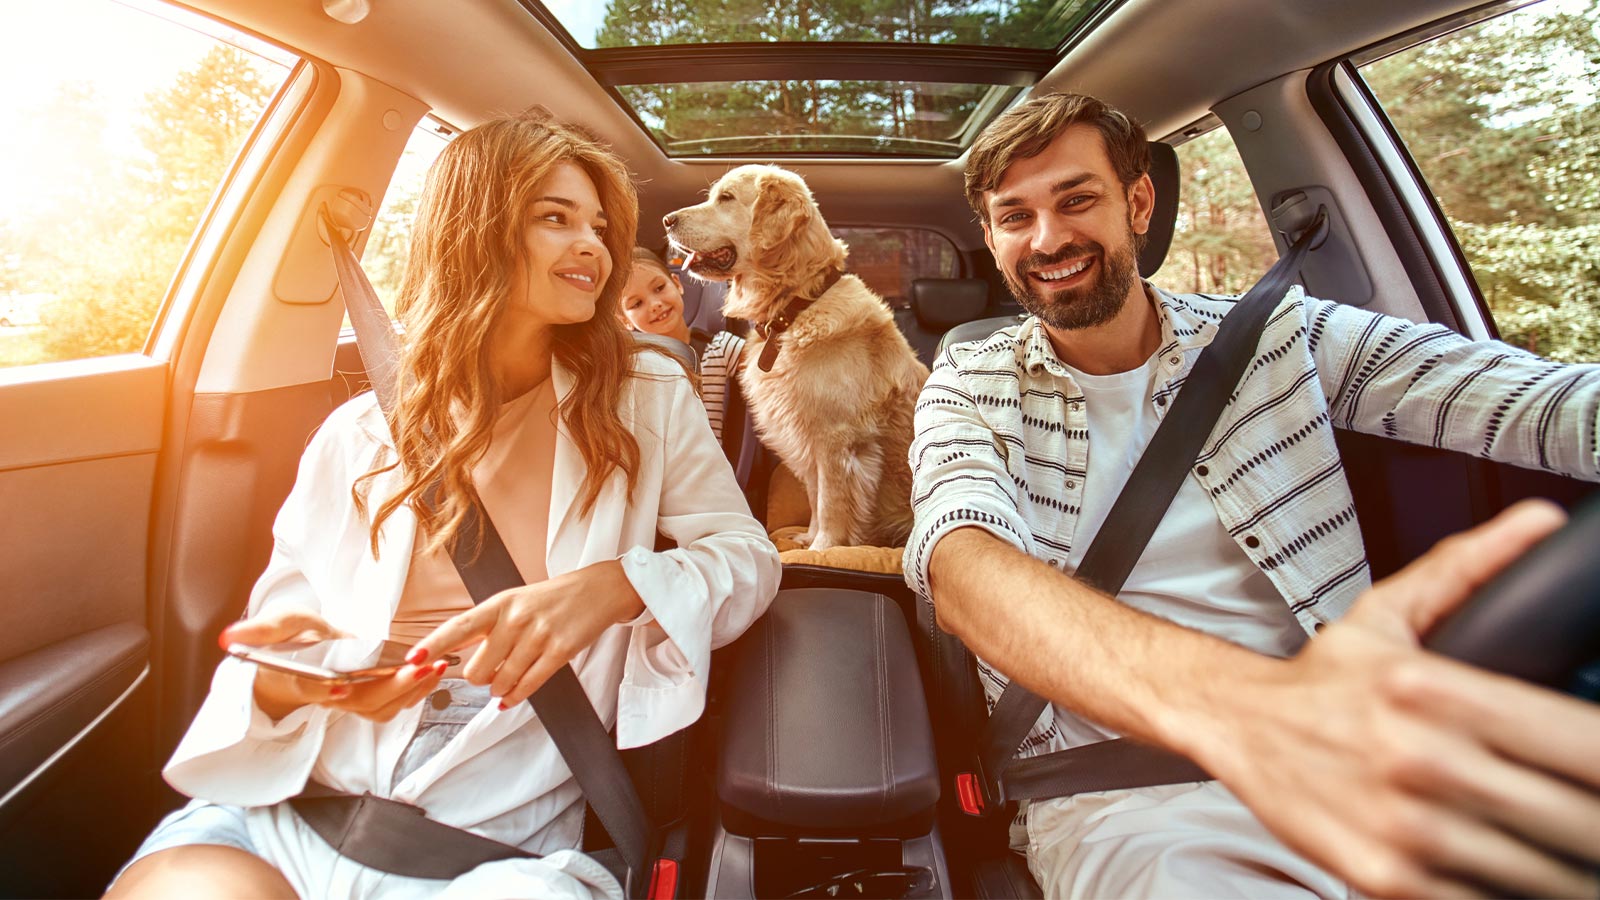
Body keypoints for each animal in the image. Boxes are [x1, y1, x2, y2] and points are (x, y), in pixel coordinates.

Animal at [668, 164, 934, 550]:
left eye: (726, 198)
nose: (666, 220)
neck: (795, 306)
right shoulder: (803, 432)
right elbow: (813, 494)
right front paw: (808, 538)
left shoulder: (835, 438)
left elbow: (831, 502)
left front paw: (824, 548)